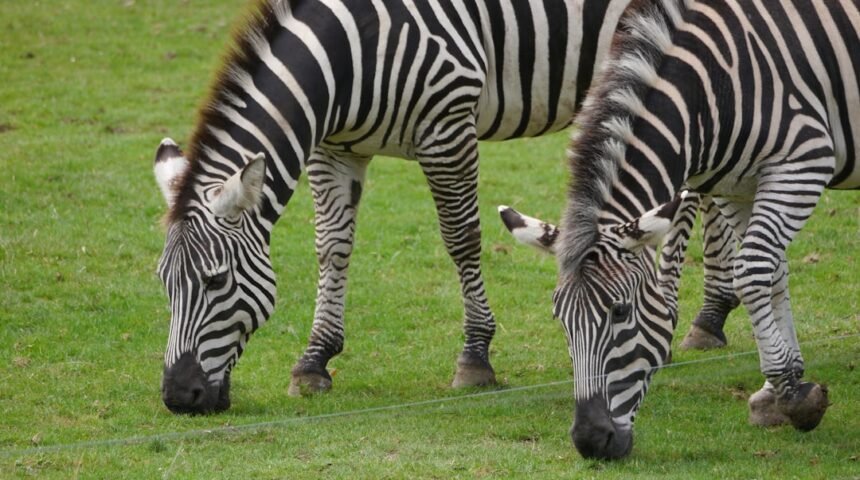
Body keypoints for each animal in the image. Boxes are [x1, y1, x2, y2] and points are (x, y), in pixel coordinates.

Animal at [152, 0, 737, 414]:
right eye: (164, 284)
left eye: (215, 281)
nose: (179, 398)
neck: (355, 52)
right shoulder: (334, 147)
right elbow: (331, 248)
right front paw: (315, 360)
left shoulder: (447, 129)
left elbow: (461, 238)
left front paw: (475, 356)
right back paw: (709, 315)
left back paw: (690, 314)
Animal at [502, 0, 858, 459]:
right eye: (558, 319)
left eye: (620, 312)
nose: (590, 442)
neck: (713, 90)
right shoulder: (735, 187)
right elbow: (774, 271)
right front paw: (779, 388)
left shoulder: (803, 162)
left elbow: (752, 271)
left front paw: (793, 397)